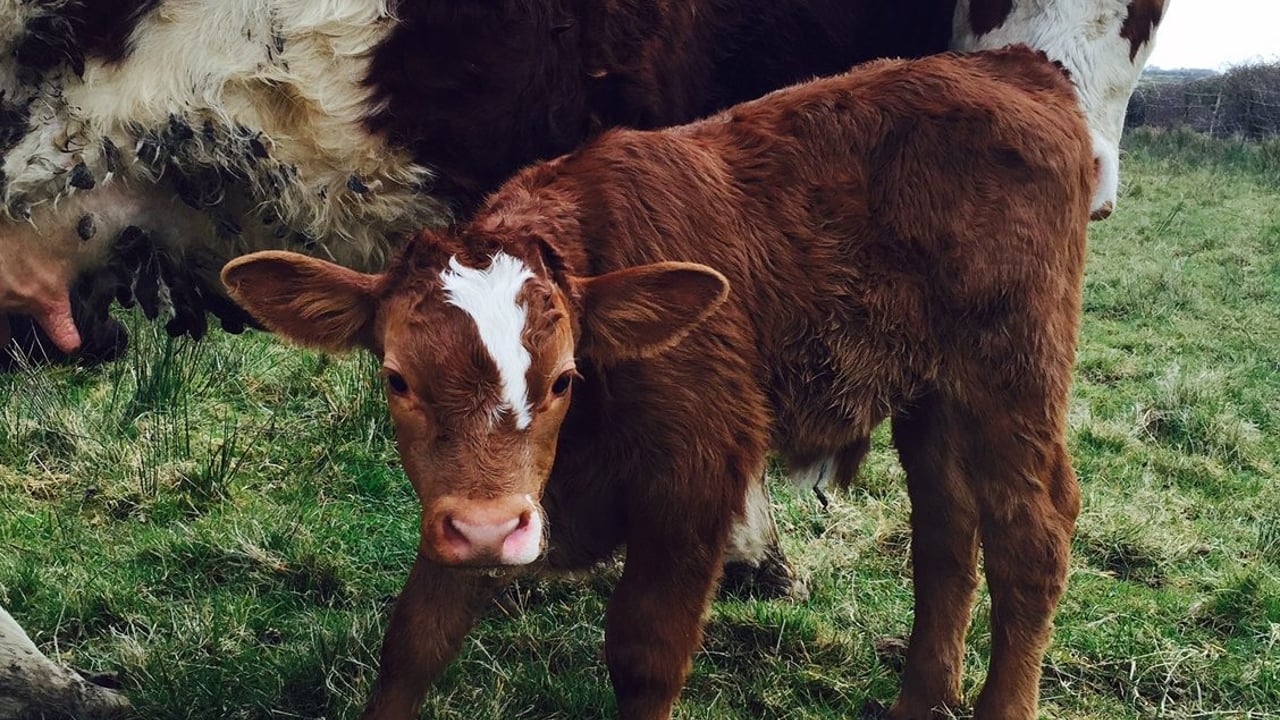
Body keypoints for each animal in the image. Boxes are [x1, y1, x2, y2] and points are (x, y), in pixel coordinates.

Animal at [222, 46, 1093, 720]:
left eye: (564, 378)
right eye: (397, 379)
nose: (490, 528)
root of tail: (1011, 65)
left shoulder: (693, 478)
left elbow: (646, 651)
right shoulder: (470, 503)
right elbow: (415, 636)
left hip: (1014, 375)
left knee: (1032, 534)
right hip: (932, 393)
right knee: (946, 532)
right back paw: (922, 698)